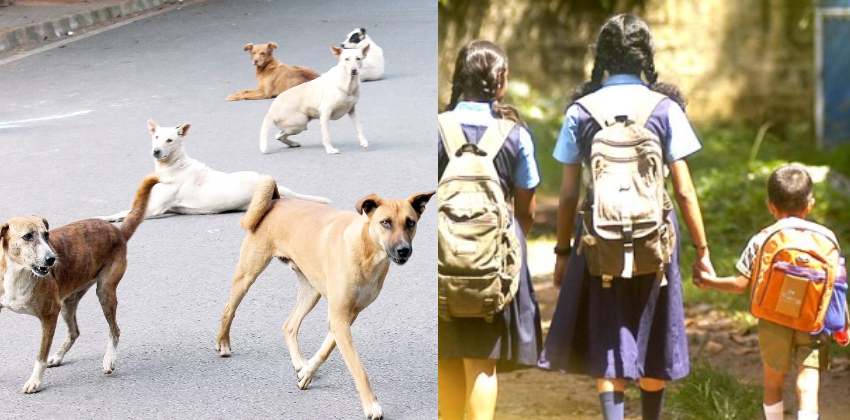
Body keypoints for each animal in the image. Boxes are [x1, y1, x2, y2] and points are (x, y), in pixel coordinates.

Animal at [0, 175, 157, 394]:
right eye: (28, 236)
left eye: (46, 235)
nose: (52, 259)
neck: (19, 272)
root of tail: (117, 231)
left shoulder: (49, 315)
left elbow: (40, 356)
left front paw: (35, 381)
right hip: (68, 303)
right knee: (74, 331)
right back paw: (58, 356)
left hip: (104, 292)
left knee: (115, 330)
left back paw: (109, 360)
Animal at [97, 120, 326, 221]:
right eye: (156, 137)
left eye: (170, 140)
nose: (156, 151)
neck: (174, 165)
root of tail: (277, 185)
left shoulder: (154, 208)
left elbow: (125, 213)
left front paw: (105, 218)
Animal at [215, 177, 434, 420]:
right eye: (385, 222)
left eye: (410, 222)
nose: (404, 250)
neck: (366, 251)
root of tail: (277, 200)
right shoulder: (339, 318)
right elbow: (358, 368)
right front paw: (371, 405)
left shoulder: (346, 317)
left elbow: (325, 349)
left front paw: (307, 372)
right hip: (248, 274)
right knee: (229, 308)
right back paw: (223, 342)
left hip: (311, 292)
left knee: (289, 326)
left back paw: (299, 362)